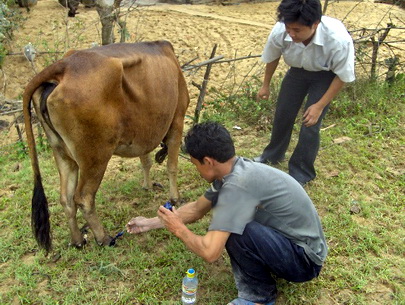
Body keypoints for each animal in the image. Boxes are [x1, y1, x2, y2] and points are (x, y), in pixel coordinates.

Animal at [22, 40, 190, 251]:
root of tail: (65, 65)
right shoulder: (177, 120)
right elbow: (172, 166)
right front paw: (175, 198)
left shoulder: (143, 132)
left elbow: (146, 161)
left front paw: (148, 186)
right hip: (95, 156)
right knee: (83, 197)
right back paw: (104, 238)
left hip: (61, 152)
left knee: (66, 198)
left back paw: (78, 240)